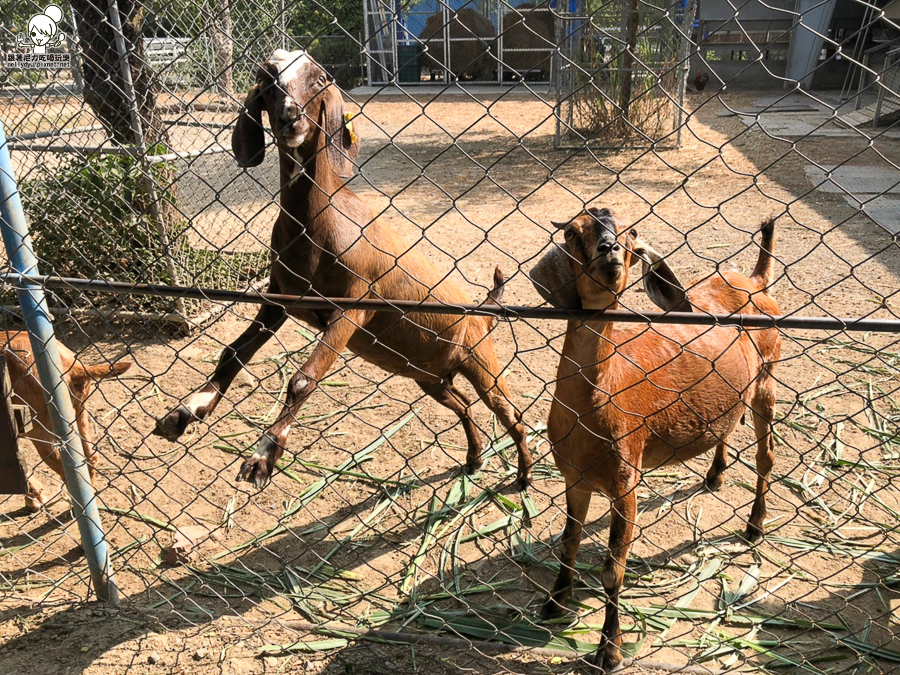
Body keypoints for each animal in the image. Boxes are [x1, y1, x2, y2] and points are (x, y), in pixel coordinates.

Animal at [156, 48, 536, 492]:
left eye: (320, 78)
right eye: (266, 77)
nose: (289, 118)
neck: (318, 226)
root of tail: (482, 313)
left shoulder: (353, 307)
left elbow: (302, 379)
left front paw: (263, 456)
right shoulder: (280, 299)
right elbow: (233, 351)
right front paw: (186, 411)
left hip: (480, 362)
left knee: (511, 415)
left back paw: (524, 477)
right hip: (429, 376)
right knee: (463, 406)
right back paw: (474, 459)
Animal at [532, 210, 776, 672]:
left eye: (629, 233)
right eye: (572, 232)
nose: (609, 250)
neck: (594, 403)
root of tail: (756, 281)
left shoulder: (626, 480)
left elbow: (613, 570)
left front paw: (609, 650)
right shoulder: (574, 477)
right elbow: (569, 541)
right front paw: (554, 603)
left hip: (767, 379)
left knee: (766, 455)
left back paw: (754, 525)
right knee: (726, 427)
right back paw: (715, 475)